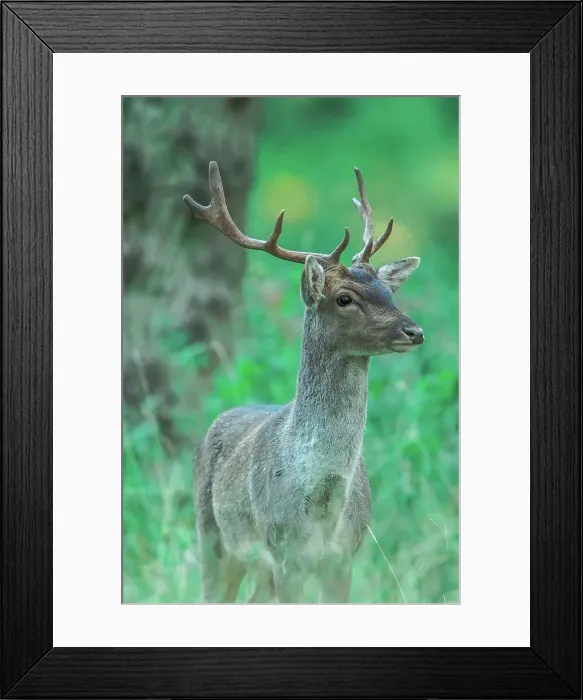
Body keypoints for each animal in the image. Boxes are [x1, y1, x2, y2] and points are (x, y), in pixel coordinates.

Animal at [184, 162, 424, 604]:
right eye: (344, 298)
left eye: (389, 292)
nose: (414, 331)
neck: (323, 509)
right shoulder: (285, 556)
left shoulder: (345, 557)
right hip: (211, 536)